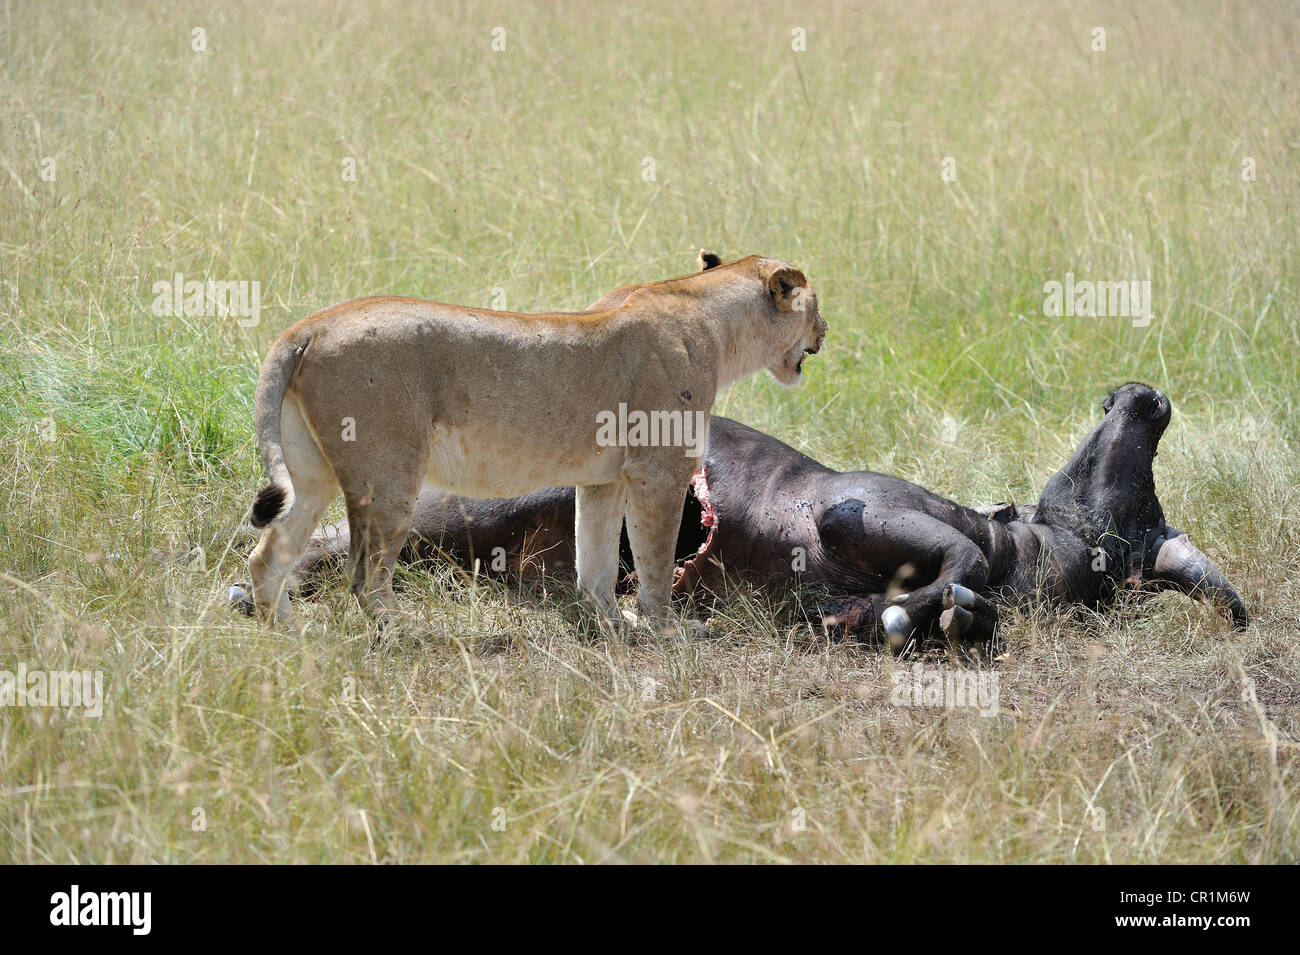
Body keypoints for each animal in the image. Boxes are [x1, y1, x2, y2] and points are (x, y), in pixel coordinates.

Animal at [245, 252, 827, 629]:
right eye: (816, 304)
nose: (826, 331)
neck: (711, 317)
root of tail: (312, 325)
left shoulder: (603, 480)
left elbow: (596, 555)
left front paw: (609, 620)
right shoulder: (659, 473)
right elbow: (656, 560)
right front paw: (665, 628)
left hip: (313, 474)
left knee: (269, 552)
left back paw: (289, 633)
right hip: (388, 477)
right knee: (364, 576)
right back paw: (403, 632)